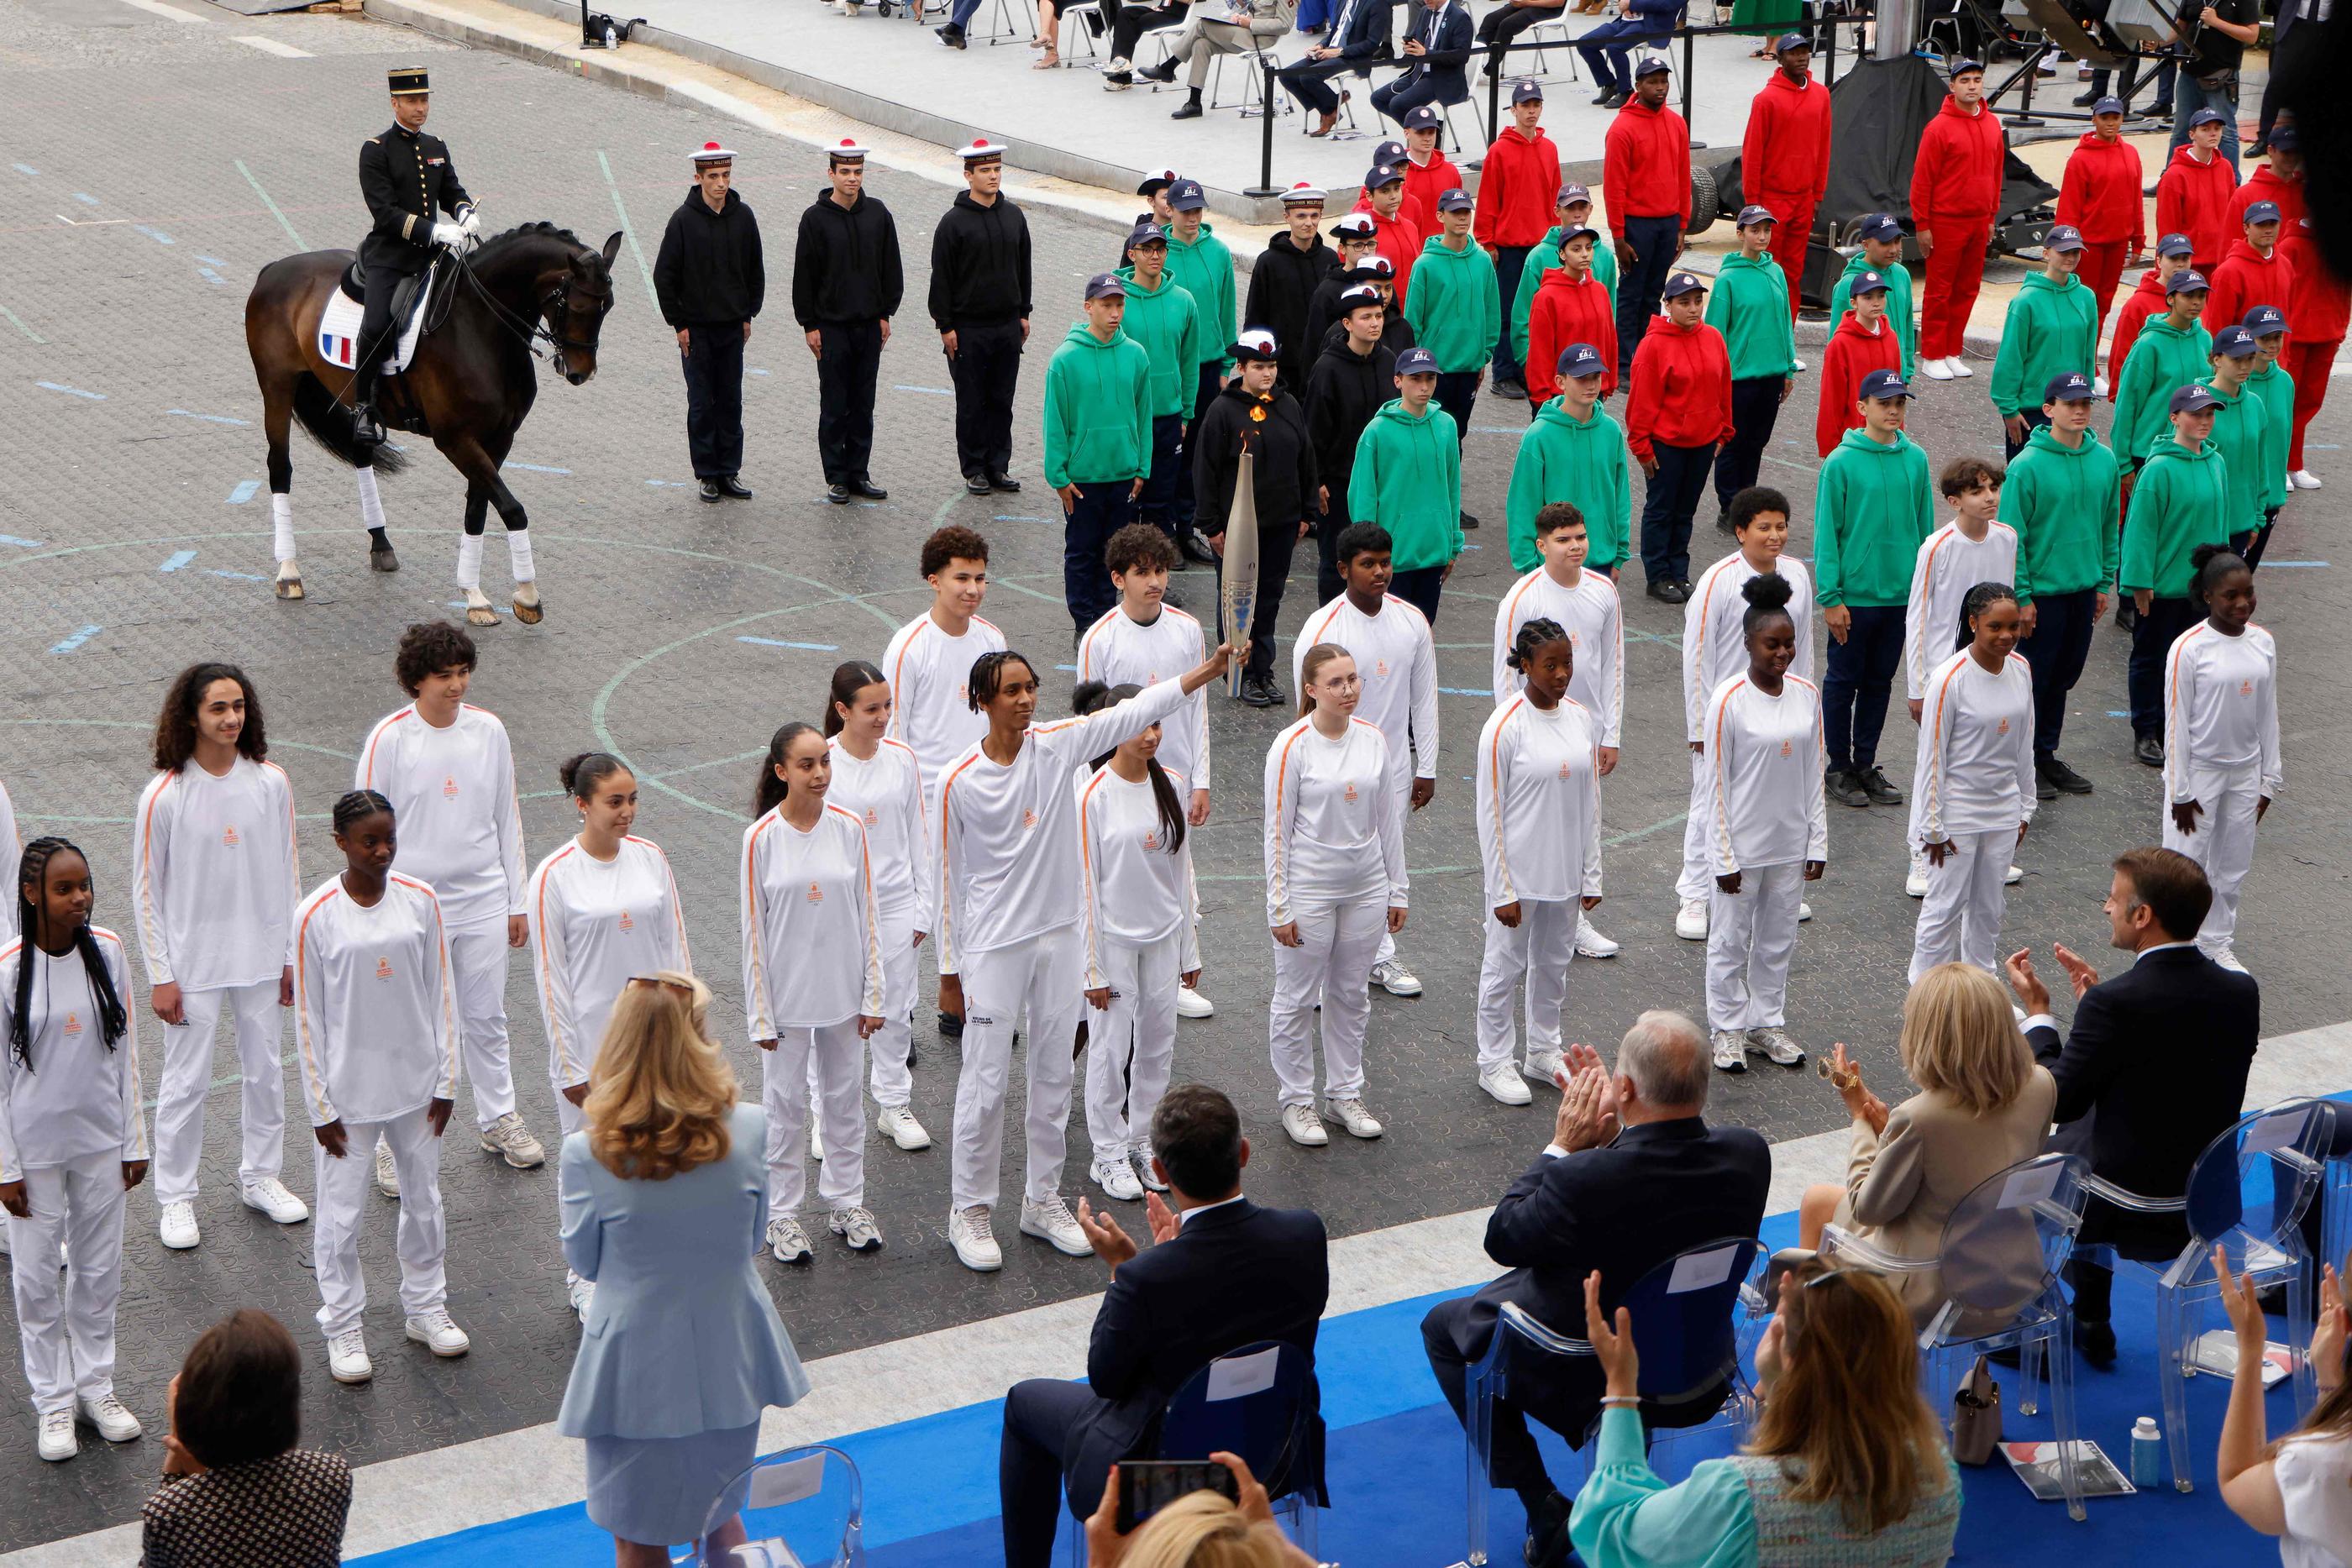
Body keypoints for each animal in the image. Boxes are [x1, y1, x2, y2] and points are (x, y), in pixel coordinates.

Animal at [244, 225, 621, 625]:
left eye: (608, 305)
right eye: (577, 307)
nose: (582, 372)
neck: (479, 327)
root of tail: (274, 269)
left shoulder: (500, 439)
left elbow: (478, 508)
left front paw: (474, 596)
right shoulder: (455, 440)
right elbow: (511, 508)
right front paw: (527, 596)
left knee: (361, 453)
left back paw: (381, 545)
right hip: (278, 385)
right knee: (279, 468)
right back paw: (288, 572)